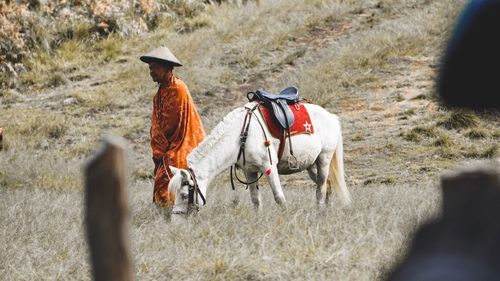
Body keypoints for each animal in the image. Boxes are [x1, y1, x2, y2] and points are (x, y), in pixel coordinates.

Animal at [168, 101, 352, 213]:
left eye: (184, 194)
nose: (177, 220)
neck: (240, 136)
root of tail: (331, 117)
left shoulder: (269, 167)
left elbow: (279, 197)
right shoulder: (249, 171)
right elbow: (255, 199)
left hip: (324, 159)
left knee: (321, 187)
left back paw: (319, 210)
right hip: (311, 165)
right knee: (327, 184)